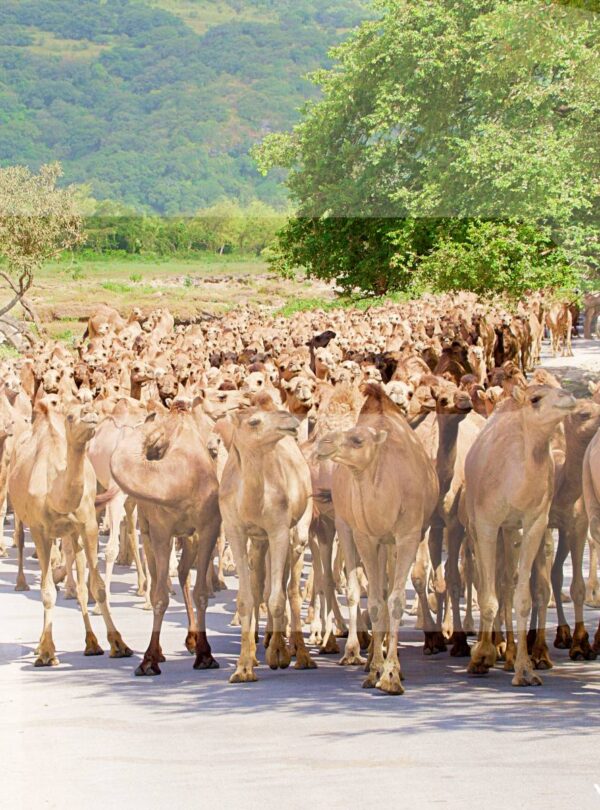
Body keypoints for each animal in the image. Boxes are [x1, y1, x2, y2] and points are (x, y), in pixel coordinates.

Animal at [9, 396, 132, 666]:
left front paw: (118, 644)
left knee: (82, 583)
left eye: (89, 407)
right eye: (70, 416)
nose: (89, 412)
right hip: (22, 516)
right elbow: (46, 592)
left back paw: (92, 643)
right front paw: (46, 652)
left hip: (72, 533)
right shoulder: (40, 531)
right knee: (21, 542)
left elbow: (97, 587)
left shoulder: (88, 526)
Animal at [111, 397, 221, 675]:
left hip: (190, 536)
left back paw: (193, 640)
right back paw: (163, 651)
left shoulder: (208, 527)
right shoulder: (161, 531)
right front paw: (149, 660)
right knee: (159, 578)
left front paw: (206, 655)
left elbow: (201, 592)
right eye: (157, 448)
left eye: (212, 450)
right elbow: (160, 596)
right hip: (149, 528)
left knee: (183, 572)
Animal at [220, 395, 316, 683]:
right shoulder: (236, 530)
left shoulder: (279, 530)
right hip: (260, 542)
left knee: (290, 589)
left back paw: (300, 655)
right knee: (262, 581)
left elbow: (277, 598)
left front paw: (277, 654)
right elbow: (246, 598)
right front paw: (243, 667)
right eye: (253, 421)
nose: (290, 420)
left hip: (298, 533)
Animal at [317, 384, 438, 694]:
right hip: (350, 527)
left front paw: (392, 675)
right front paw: (374, 669)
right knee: (369, 590)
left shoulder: (408, 534)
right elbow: (373, 600)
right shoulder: (366, 535)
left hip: (395, 540)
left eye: (358, 439)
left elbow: (394, 599)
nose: (323, 443)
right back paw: (363, 653)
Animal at [465, 385, 575, 686]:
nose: (570, 396)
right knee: (486, 582)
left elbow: (522, 598)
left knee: (507, 582)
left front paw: (525, 670)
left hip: (512, 529)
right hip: (479, 527)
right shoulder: (487, 523)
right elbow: (487, 596)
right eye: (535, 399)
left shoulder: (534, 521)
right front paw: (481, 657)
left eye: (559, 388)